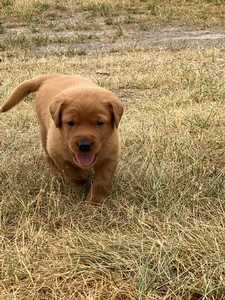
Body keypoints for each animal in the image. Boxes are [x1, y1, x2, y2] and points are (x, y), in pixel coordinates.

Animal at [0, 74, 123, 205]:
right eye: (70, 122)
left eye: (100, 123)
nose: (84, 145)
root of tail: (53, 76)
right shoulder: (57, 153)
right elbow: (73, 174)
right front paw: (83, 176)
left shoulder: (110, 156)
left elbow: (102, 180)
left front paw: (94, 201)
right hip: (44, 131)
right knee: (48, 157)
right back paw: (55, 173)